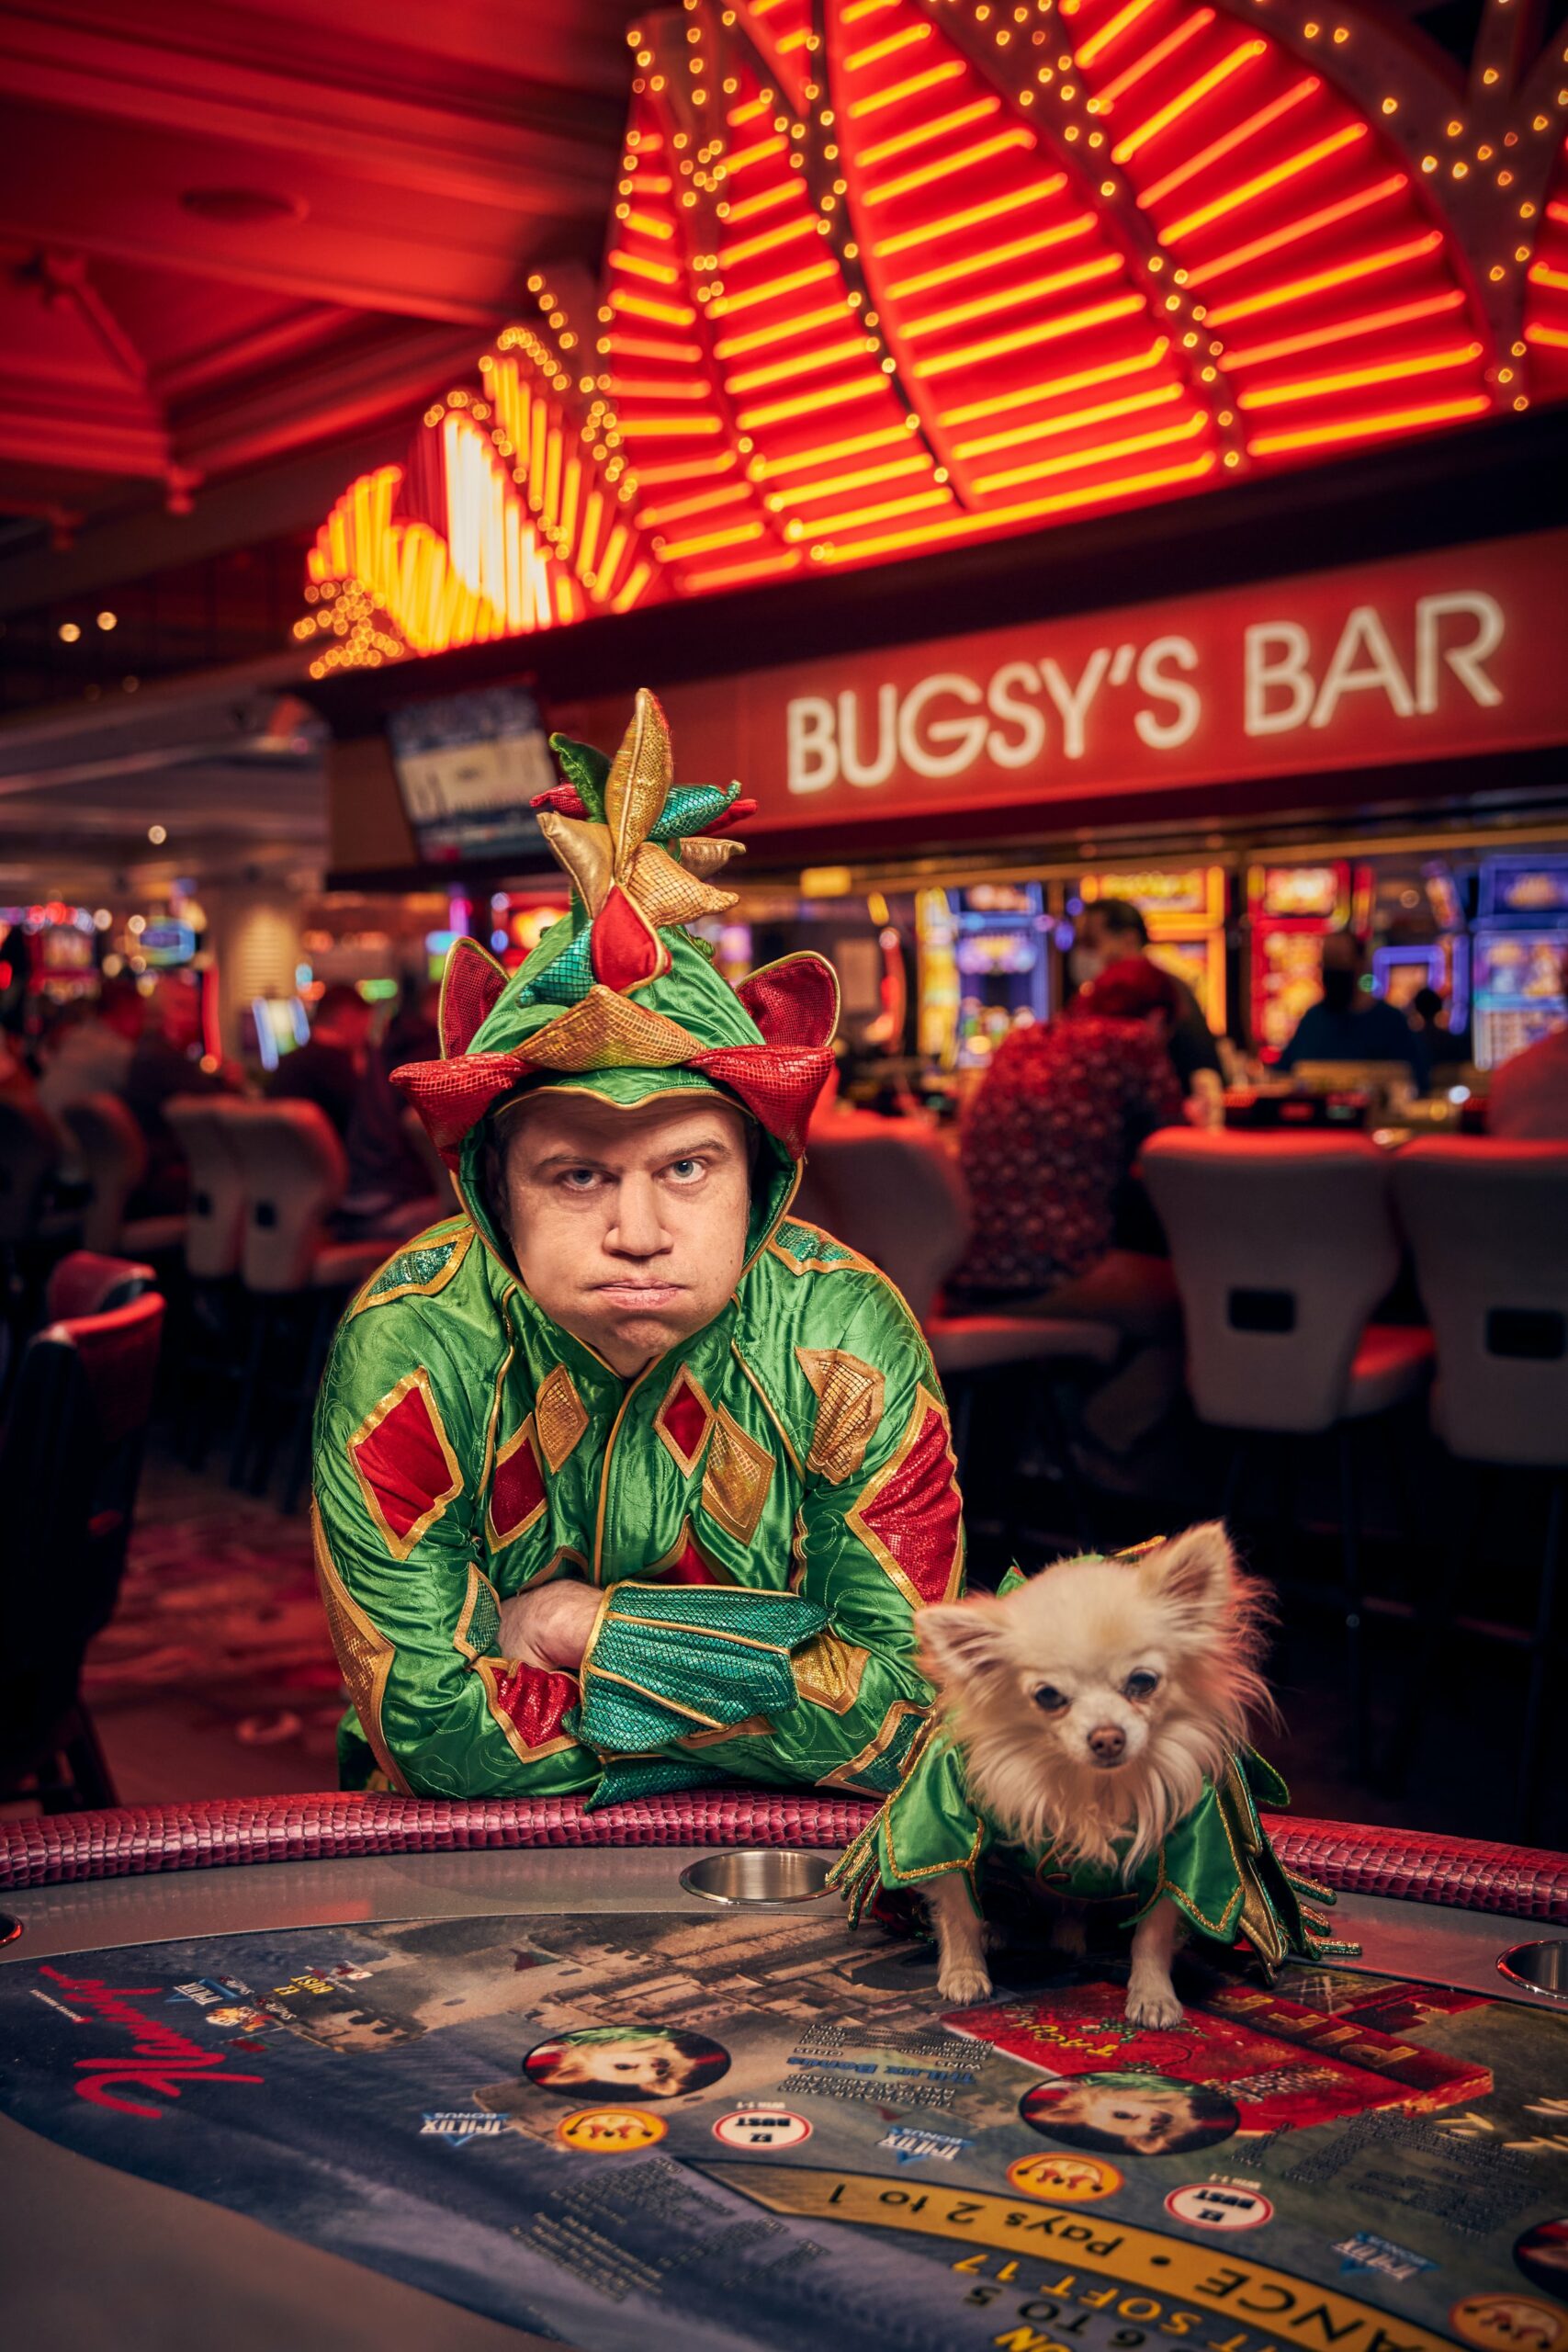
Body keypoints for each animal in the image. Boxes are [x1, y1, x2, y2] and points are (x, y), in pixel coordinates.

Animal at [911, 1523, 1269, 2022]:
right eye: (1048, 1696)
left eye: (1143, 1682)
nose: (1107, 1737)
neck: (1091, 1786)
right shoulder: (943, 1821)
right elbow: (958, 1905)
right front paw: (964, 1971)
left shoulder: (1187, 1847)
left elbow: (1154, 1931)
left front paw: (1152, 1994)